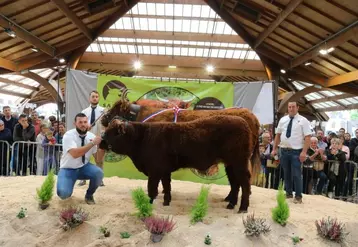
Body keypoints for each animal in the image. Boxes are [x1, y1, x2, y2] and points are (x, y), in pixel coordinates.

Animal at [99, 115, 253, 213]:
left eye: (109, 133)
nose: (100, 141)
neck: (142, 137)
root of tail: (243, 123)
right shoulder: (164, 172)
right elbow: (167, 187)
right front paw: (166, 202)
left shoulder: (154, 172)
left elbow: (152, 190)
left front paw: (149, 205)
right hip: (230, 165)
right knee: (235, 184)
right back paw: (231, 204)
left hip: (238, 164)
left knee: (244, 184)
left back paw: (242, 208)